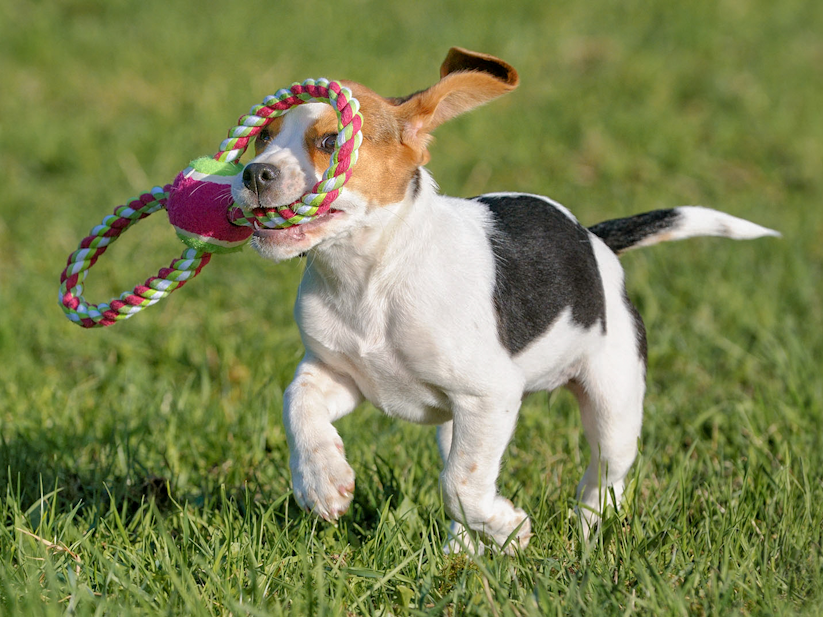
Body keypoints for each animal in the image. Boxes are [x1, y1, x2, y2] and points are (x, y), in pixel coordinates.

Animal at [232, 45, 780, 552]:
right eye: (263, 137)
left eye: (330, 141)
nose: (254, 174)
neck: (369, 274)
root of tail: (593, 237)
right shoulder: (338, 374)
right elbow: (298, 403)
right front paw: (322, 482)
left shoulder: (488, 397)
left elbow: (461, 485)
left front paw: (509, 527)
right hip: (457, 425)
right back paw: (462, 551)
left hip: (615, 403)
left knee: (603, 478)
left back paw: (584, 535)